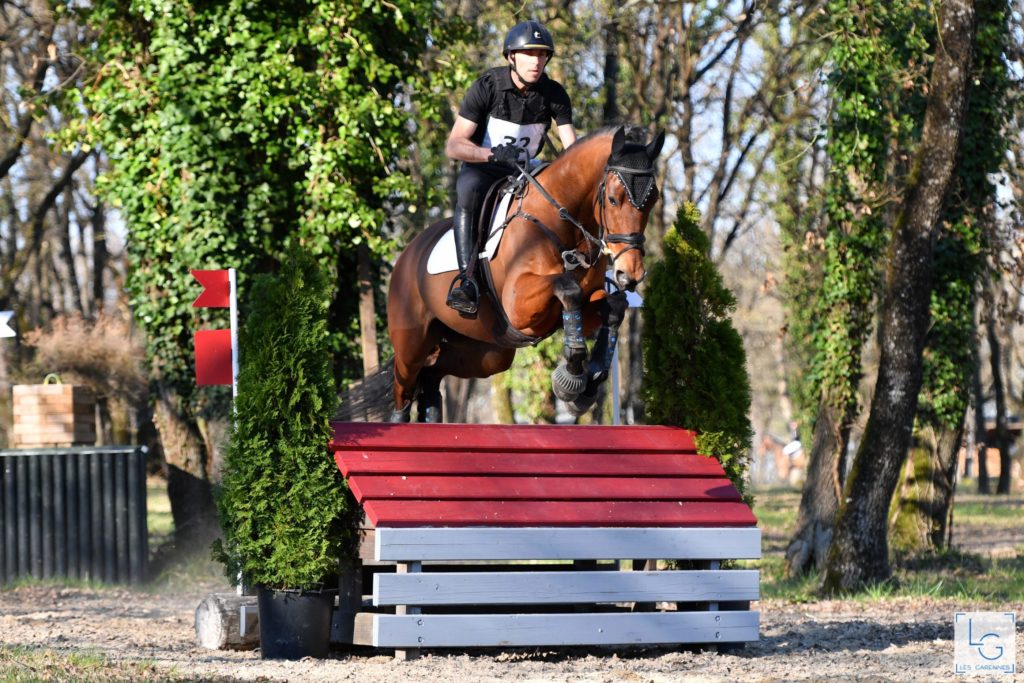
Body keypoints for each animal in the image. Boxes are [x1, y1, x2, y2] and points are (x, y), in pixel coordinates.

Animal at [385, 123, 663, 421]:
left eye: (653, 200)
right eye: (612, 199)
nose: (630, 274)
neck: (565, 223)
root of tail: (407, 253)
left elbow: (613, 306)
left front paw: (591, 377)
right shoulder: (518, 305)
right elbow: (568, 288)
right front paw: (571, 377)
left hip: (486, 352)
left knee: (432, 371)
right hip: (411, 344)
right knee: (404, 387)